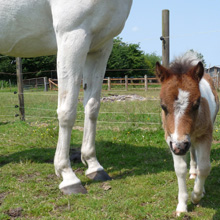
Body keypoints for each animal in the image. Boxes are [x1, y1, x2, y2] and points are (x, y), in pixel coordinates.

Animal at [0, 0, 132, 193]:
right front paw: (68, 176)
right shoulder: (72, 36)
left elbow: (92, 107)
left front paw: (94, 166)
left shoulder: (101, 47)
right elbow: (67, 111)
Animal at [156, 52, 219, 216]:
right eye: (163, 106)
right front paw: (182, 206)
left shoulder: (205, 135)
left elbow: (204, 167)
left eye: (197, 104)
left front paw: (196, 196)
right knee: (192, 152)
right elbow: (180, 169)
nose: (180, 147)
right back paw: (192, 172)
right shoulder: (171, 138)